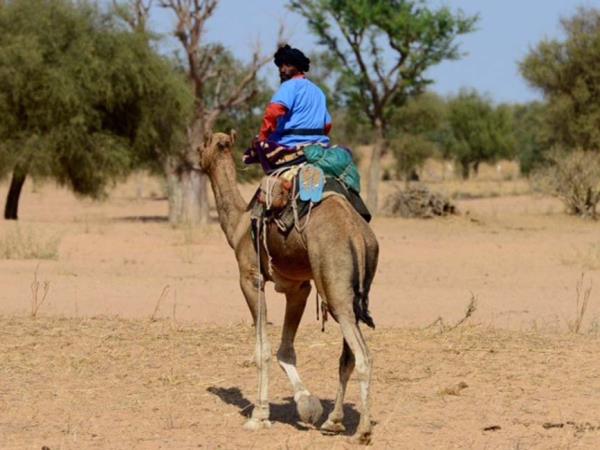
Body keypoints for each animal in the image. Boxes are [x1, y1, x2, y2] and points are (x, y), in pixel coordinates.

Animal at [199, 130, 378, 442]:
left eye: (202, 145)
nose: (195, 157)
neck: (239, 226)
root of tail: (358, 236)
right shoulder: (298, 287)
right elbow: (285, 350)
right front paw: (307, 405)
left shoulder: (250, 278)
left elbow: (263, 349)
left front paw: (259, 416)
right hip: (351, 291)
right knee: (347, 357)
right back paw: (333, 421)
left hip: (336, 290)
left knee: (363, 355)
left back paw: (362, 432)